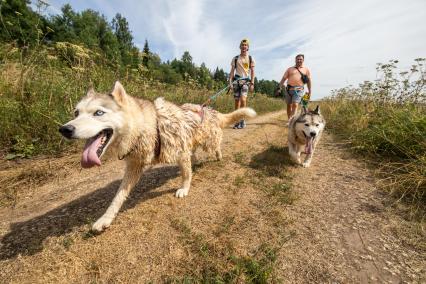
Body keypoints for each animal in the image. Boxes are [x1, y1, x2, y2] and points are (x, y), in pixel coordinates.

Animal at [58, 81, 255, 231]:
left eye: (98, 113)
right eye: (76, 113)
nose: (64, 129)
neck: (150, 126)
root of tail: (210, 109)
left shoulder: (180, 151)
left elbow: (186, 174)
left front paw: (184, 188)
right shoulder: (134, 166)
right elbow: (117, 197)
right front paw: (106, 218)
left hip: (209, 141)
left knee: (215, 146)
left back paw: (218, 156)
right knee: (194, 154)